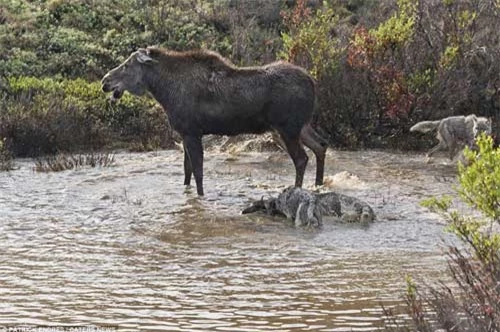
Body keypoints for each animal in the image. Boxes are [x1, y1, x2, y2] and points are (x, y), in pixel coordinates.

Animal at [101, 48, 328, 196]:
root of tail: (313, 84)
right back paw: (318, 186)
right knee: (321, 145)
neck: (163, 91)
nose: (105, 81)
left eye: (127, 65)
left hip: (287, 128)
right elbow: (187, 170)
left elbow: (198, 172)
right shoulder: (185, 134)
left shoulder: (192, 132)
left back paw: (297, 190)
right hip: (301, 126)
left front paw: (200, 197)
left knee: (301, 158)